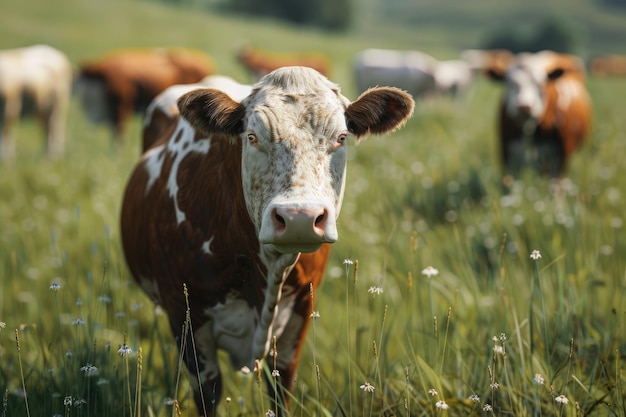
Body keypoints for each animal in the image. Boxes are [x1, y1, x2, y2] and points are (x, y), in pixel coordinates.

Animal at [122, 66, 414, 412]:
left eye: (341, 138)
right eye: (252, 137)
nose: (299, 217)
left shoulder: (300, 311)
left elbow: (281, 389)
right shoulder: (185, 315)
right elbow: (208, 393)